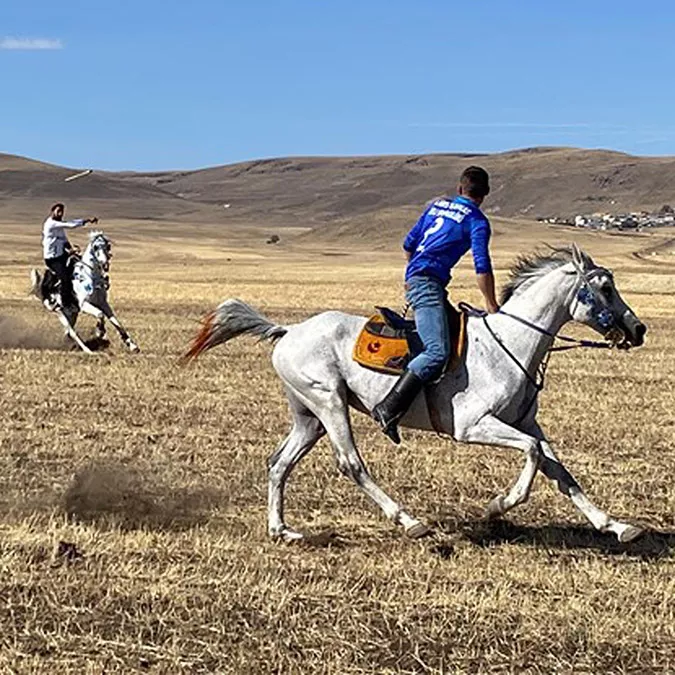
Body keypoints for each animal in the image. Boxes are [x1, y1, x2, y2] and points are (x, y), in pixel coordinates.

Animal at [186, 246, 648, 548]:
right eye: (605, 287)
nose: (639, 329)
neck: (509, 344)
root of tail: (288, 330)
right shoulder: (474, 426)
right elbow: (534, 455)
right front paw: (498, 505)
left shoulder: (524, 422)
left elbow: (559, 470)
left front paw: (614, 525)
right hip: (330, 404)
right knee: (351, 464)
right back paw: (408, 521)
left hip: (309, 416)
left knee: (278, 462)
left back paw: (282, 531)